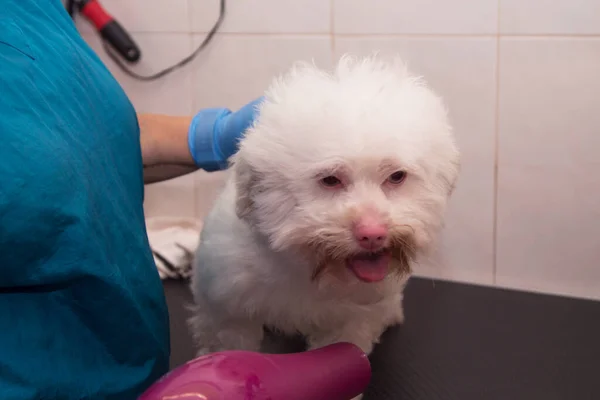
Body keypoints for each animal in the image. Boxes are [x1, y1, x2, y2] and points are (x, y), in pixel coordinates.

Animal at [188, 55, 460, 376]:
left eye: (396, 177)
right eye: (330, 180)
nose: (373, 233)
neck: (311, 268)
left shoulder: (350, 323)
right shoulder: (226, 307)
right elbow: (229, 344)